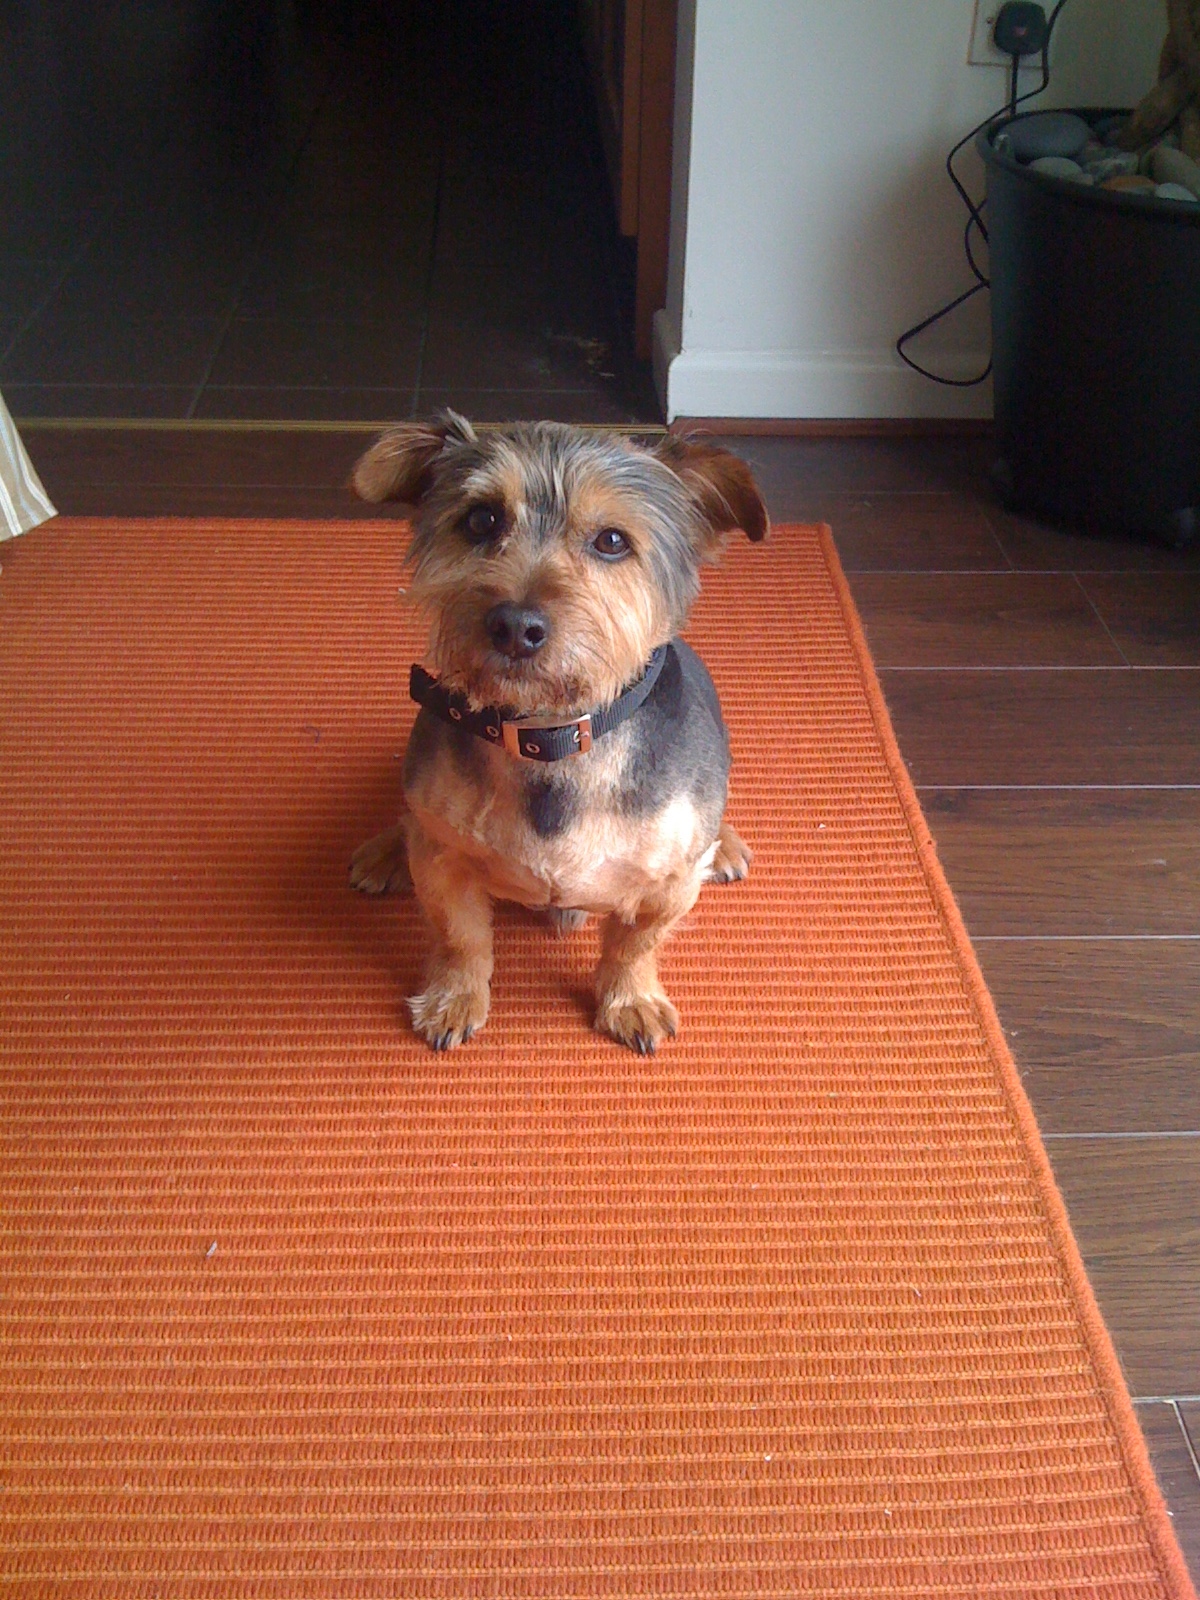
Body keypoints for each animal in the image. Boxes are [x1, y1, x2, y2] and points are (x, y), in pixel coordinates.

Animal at [348, 412, 768, 1054]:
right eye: (481, 519)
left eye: (613, 541)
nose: (514, 624)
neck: (549, 738)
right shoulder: (443, 860)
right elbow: (459, 937)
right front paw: (454, 999)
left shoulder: (668, 886)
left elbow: (635, 946)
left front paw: (630, 1000)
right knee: (408, 818)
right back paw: (387, 850)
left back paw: (724, 845)